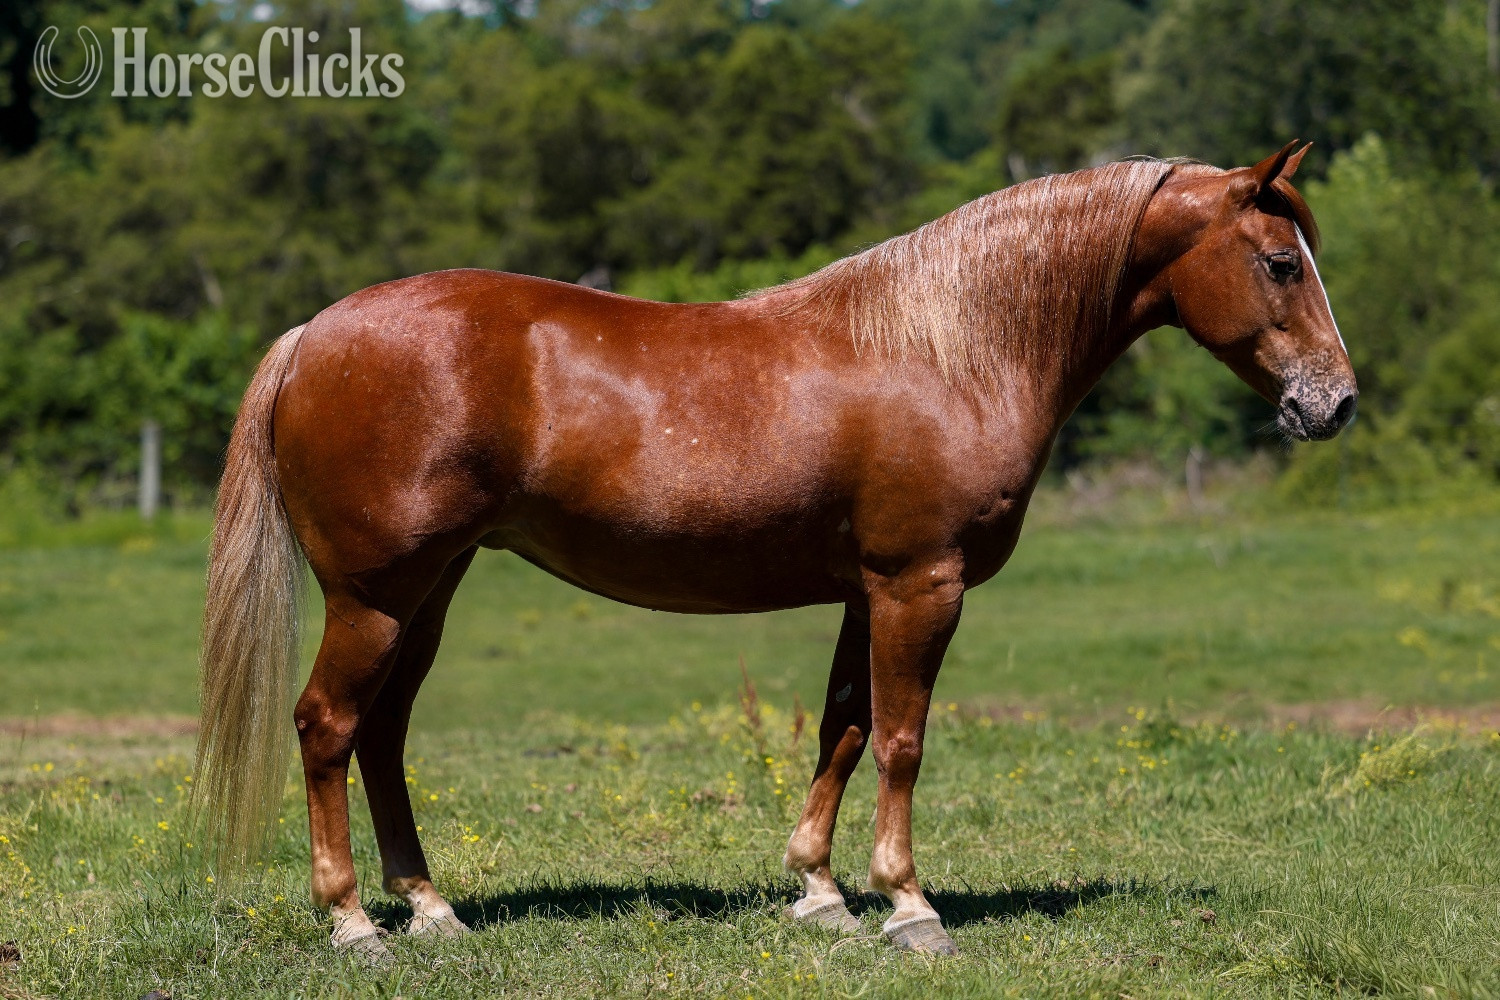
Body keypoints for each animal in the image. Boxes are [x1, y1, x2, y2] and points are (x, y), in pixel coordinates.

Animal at [194, 142, 1355, 962]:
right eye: (1279, 263)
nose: (1335, 404)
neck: (946, 349)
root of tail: (312, 333)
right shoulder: (921, 585)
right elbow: (902, 740)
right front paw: (909, 906)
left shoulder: (865, 591)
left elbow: (843, 728)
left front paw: (820, 893)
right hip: (375, 595)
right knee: (327, 725)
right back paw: (351, 922)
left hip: (429, 591)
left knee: (382, 734)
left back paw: (431, 910)